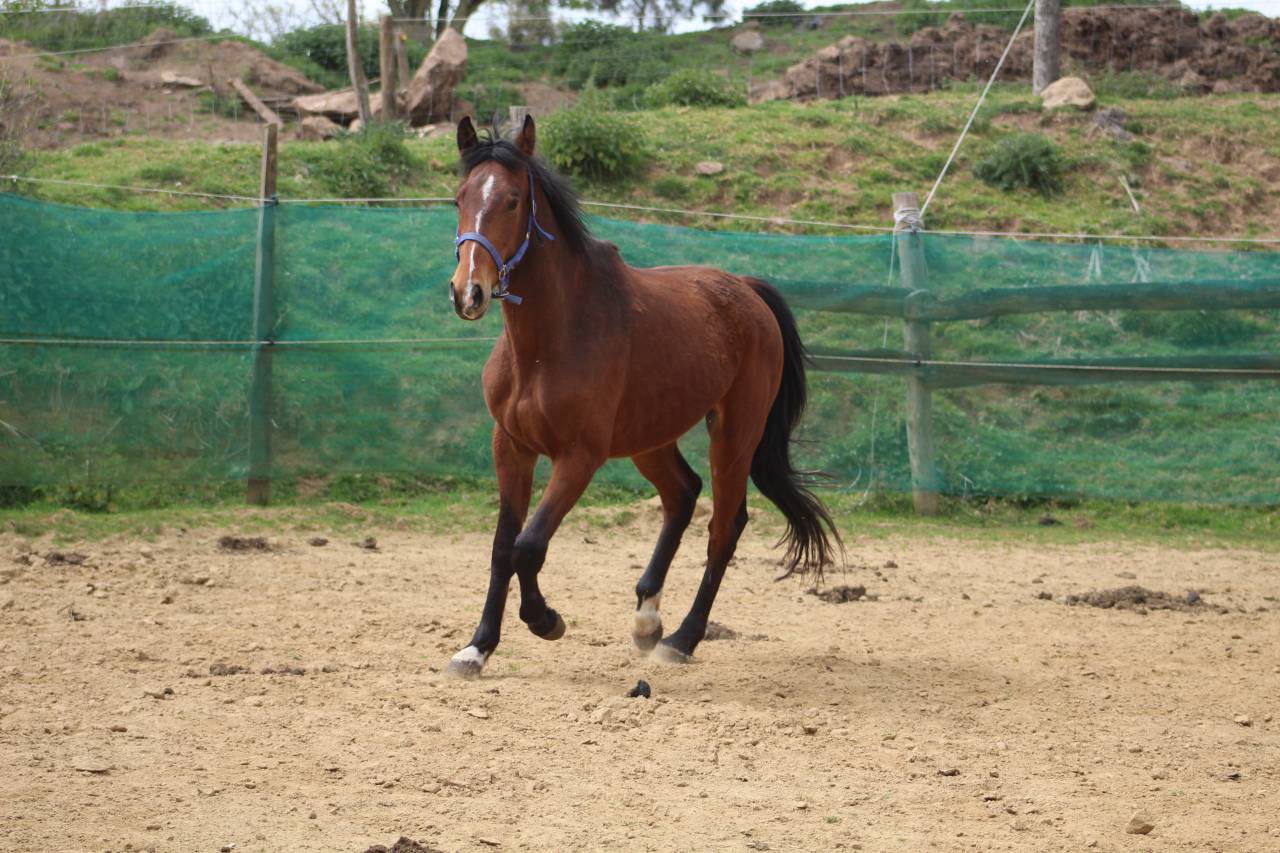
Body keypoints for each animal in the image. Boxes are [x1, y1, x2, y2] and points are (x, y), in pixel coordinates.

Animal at [443, 114, 841, 678]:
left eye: (514, 201)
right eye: (460, 198)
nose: (468, 292)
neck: (547, 343)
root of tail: (746, 289)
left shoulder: (578, 458)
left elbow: (529, 546)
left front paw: (546, 621)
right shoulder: (511, 448)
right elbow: (503, 547)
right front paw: (477, 647)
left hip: (735, 432)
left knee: (725, 525)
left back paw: (681, 639)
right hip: (649, 438)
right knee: (683, 494)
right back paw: (647, 619)